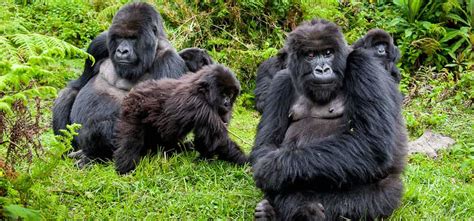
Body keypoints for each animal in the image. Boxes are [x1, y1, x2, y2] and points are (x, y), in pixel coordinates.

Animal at [51, 2, 188, 167]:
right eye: (119, 37)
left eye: (133, 38)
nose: (122, 51)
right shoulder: (100, 42)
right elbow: (78, 85)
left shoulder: (169, 62)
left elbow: (163, 126)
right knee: (68, 95)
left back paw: (93, 157)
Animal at [114, 63, 248, 174]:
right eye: (223, 94)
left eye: (230, 94)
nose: (227, 103)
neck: (201, 89)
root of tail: (133, 92)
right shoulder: (198, 104)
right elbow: (217, 139)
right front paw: (246, 161)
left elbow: (207, 138)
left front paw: (205, 158)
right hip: (134, 110)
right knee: (131, 140)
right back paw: (126, 167)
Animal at [250, 19, 410, 220]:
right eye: (310, 55)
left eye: (328, 53)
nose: (322, 69)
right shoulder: (281, 82)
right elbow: (266, 144)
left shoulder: (364, 64)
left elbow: (371, 142)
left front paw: (275, 168)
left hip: (389, 189)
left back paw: (306, 212)